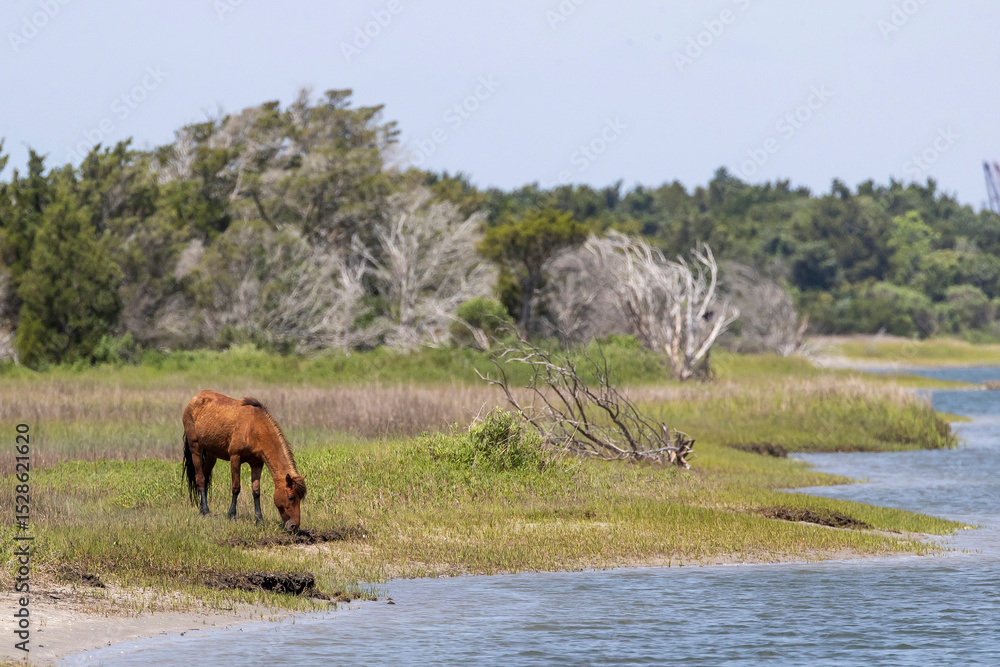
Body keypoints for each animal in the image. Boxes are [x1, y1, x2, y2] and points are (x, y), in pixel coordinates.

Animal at [182, 390, 307, 532]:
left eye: (300, 498)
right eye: (291, 497)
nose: (294, 526)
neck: (253, 428)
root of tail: (195, 398)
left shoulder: (257, 463)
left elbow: (256, 491)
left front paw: (259, 520)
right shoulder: (235, 458)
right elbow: (236, 487)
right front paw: (232, 515)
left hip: (211, 455)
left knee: (206, 476)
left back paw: (203, 509)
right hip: (195, 448)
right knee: (201, 479)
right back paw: (205, 511)